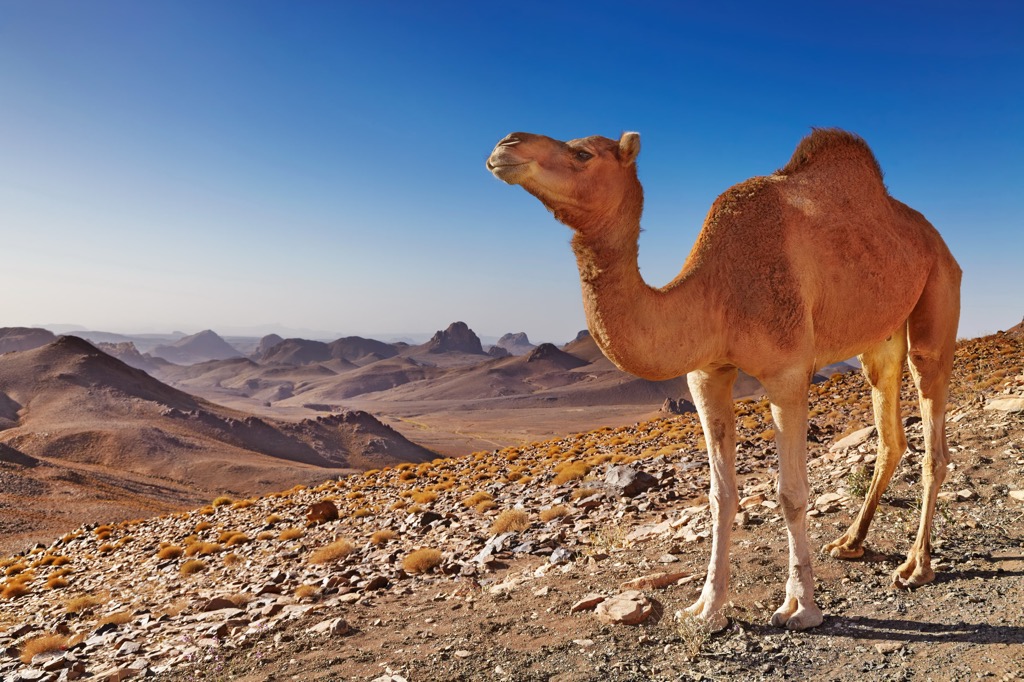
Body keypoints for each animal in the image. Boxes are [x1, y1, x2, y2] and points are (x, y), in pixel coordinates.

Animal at [487, 128, 961, 630]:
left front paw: (801, 606)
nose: (506, 144)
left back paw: (916, 566)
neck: (718, 288)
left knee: (932, 431)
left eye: (582, 153)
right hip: (881, 334)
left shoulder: (787, 372)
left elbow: (791, 493)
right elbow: (720, 495)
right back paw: (850, 542)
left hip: (938, 293)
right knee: (890, 431)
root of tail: (937, 239)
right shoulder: (705, 374)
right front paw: (706, 607)